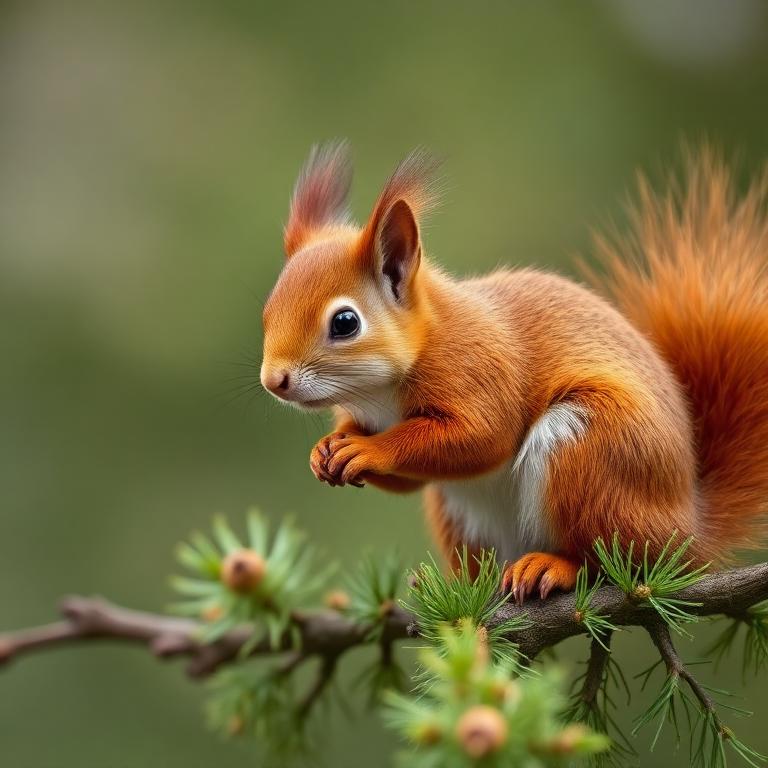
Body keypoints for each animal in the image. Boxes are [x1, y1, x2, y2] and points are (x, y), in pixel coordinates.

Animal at [260, 142, 768, 602]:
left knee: (614, 560)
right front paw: (328, 447)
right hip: (462, 514)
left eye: (345, 323)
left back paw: (555, 567)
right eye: (267, 311)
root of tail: (689, 532)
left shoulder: (480, 369)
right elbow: (411, 478)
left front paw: (368, 450)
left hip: (593, 451)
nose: (273, 381)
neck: (381, 392)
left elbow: (483, 436)